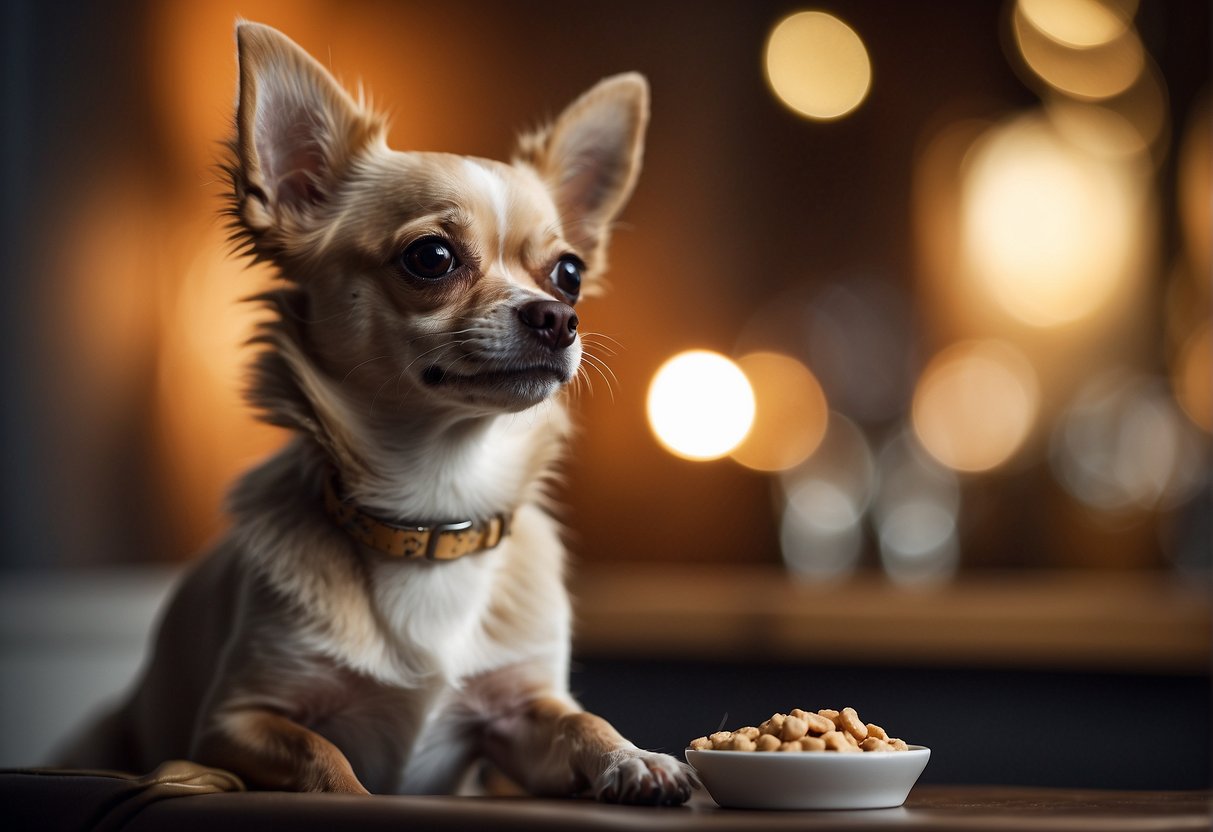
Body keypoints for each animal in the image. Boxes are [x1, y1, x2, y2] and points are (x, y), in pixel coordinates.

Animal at [61, 21, 698, 810]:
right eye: (432, 257)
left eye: (570, 272)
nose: (558, 317)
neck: (432, 510)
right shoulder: (236, 722)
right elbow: (324, 759)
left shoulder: (518, 717)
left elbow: (583, 720)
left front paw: (634, 757)